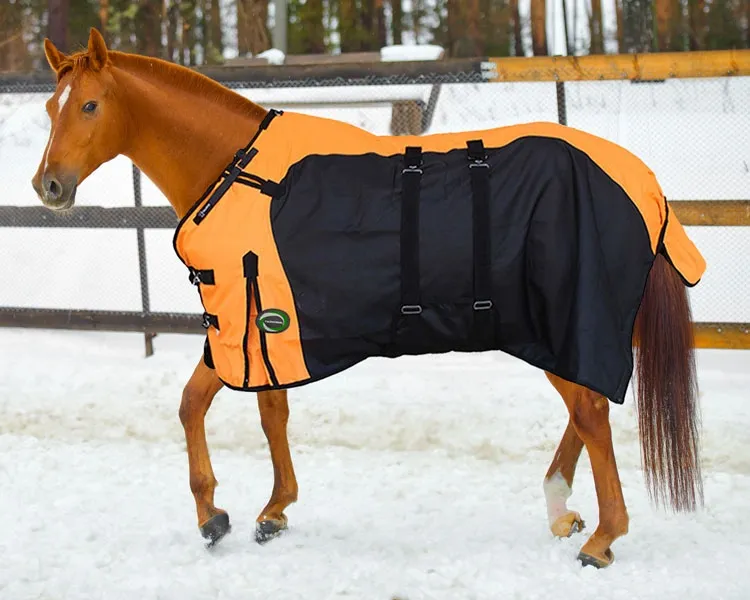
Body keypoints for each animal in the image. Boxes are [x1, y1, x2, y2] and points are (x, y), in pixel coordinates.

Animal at [31, 28, 704, 569]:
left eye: (89, 105)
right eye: (49, 107)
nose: (49, 186)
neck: (234, 170)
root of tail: (643, 185)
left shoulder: (244, 322)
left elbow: (195, 407)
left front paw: (212, 517)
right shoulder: (268, 327)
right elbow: (254, 409)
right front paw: (270, 510)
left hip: (561, 321)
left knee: (589, 411)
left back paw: (601, 539)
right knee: (585, 411)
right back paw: (562, 509)